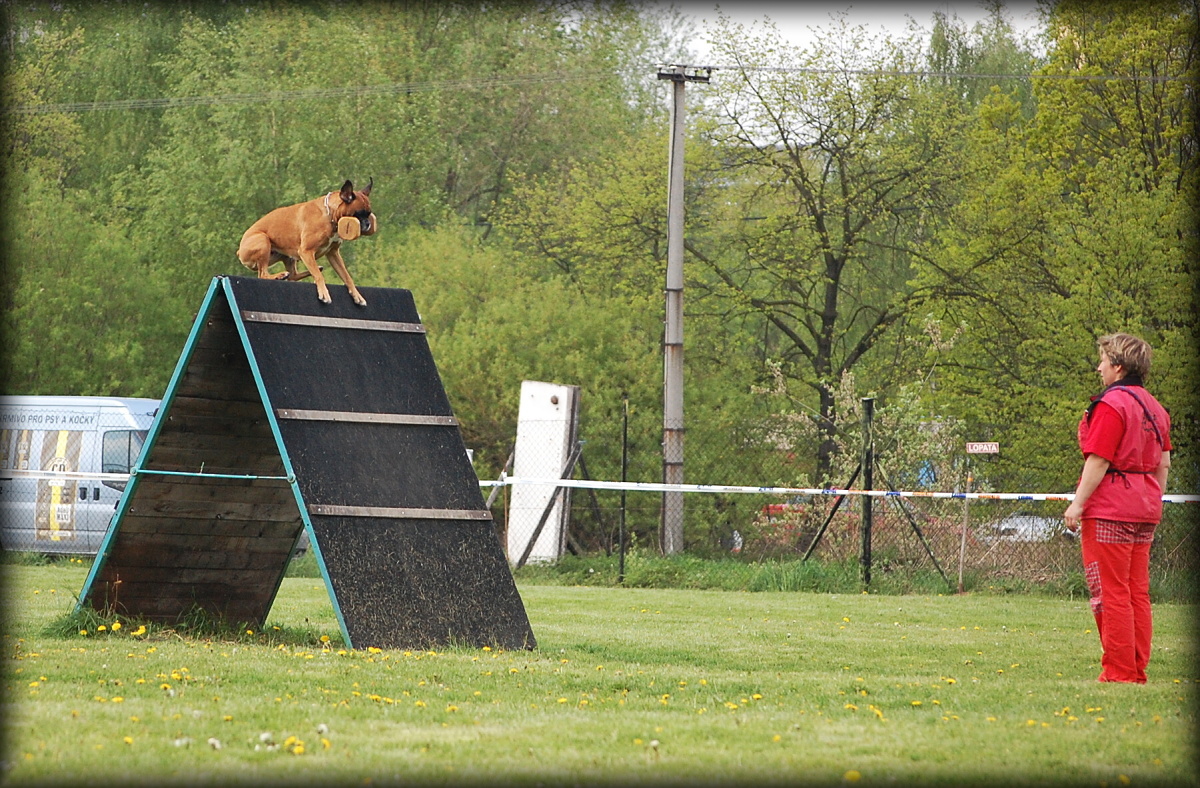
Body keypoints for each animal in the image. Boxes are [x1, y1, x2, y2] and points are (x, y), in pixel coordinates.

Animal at [237, 178, 376, 304]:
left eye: (368, 213)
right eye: (359, 214)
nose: (368, 223)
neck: (330, 215)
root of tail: (239, 251)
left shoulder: (333, 254)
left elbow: (346, 276)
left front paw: (357, 295)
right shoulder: (306, 251)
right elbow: (319, 277)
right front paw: (323, 293)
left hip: (288, 256)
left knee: (293, 275)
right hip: (263, 240)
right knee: (263, 274)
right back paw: (279, 275)